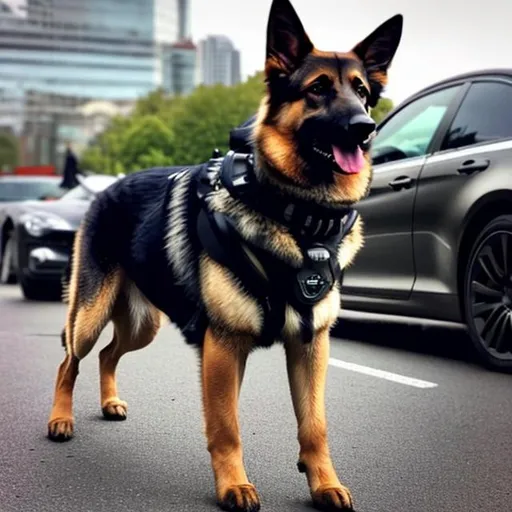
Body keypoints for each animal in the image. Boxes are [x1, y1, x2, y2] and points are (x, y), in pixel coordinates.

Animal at [47, 2, 400, 510]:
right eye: (317, 90)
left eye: (363, 92)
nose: (365, 129)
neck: (299, 218)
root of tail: (107, 187)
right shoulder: (223, 348)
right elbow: (226, 426)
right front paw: (233, 485)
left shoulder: (309, 346)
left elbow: (314, 425)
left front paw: (324, 483)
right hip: (89, 317)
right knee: (69, 361)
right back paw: (60, 419)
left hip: (142, 326)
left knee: (109, 354)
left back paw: (109, 402)